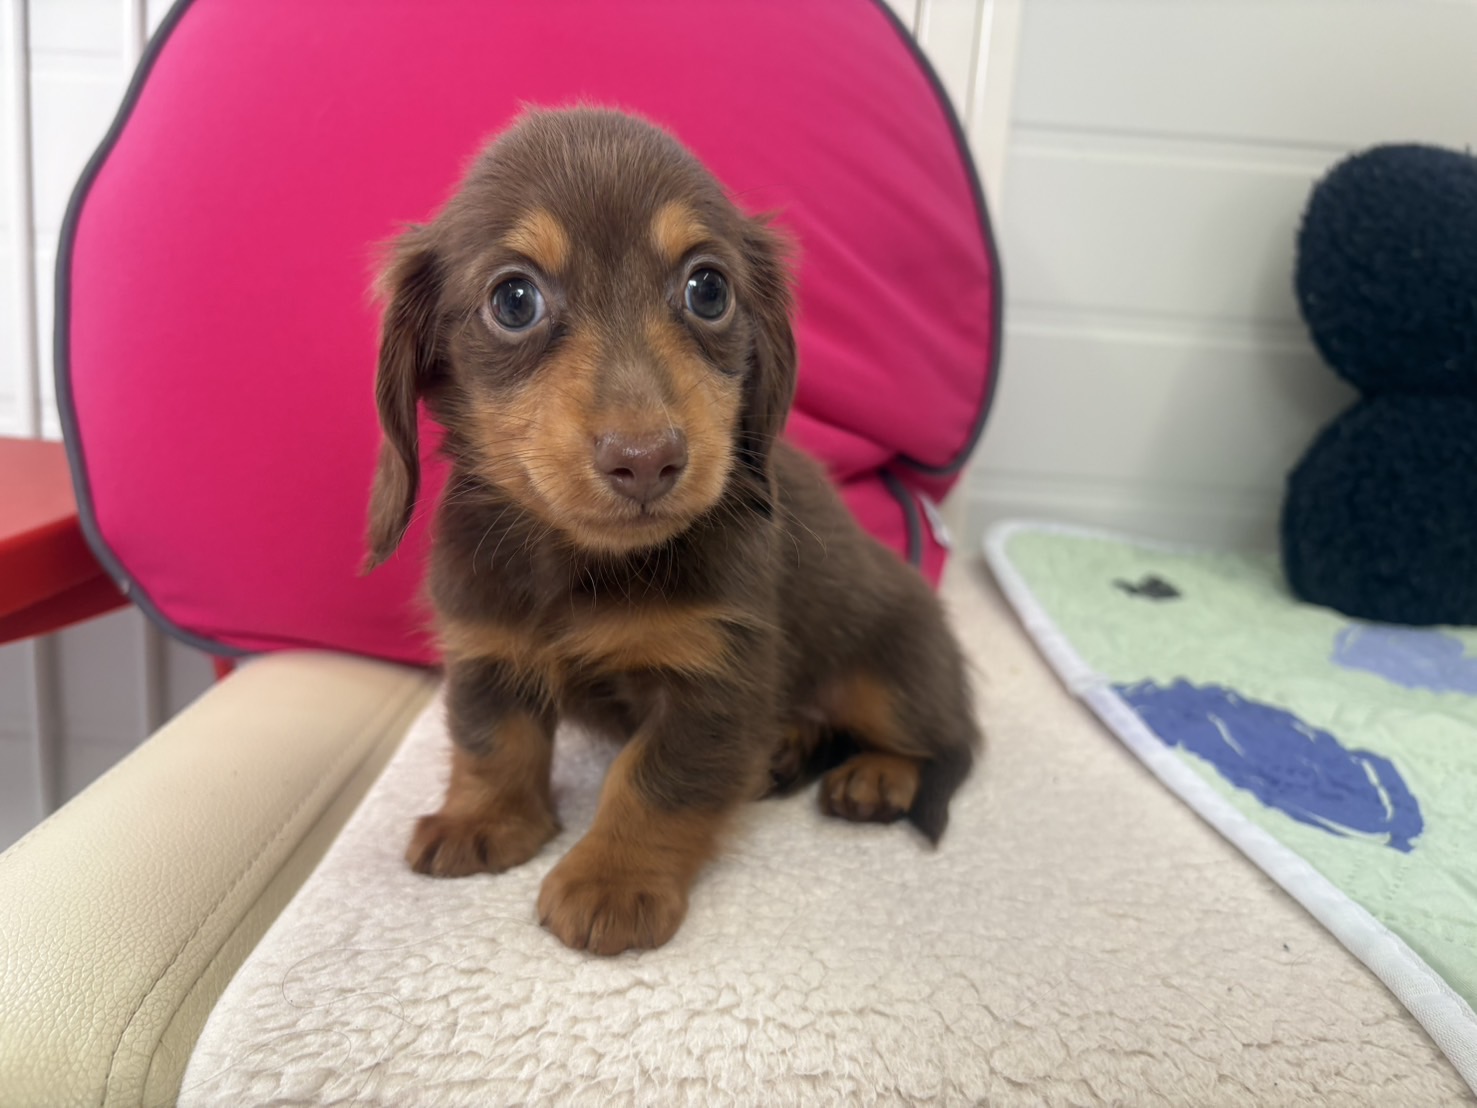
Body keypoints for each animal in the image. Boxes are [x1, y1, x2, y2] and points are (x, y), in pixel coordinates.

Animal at [366, 108, 980, 955]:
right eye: (514, 300)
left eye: (707, 288)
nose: (646, 460)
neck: (587, 563)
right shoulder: (487, 646)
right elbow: (493, 739)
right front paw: (484, 819)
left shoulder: (713, 676)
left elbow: (655, 779)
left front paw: (611, 879)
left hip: (890, 676)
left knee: (942, 739)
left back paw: (879, 774)